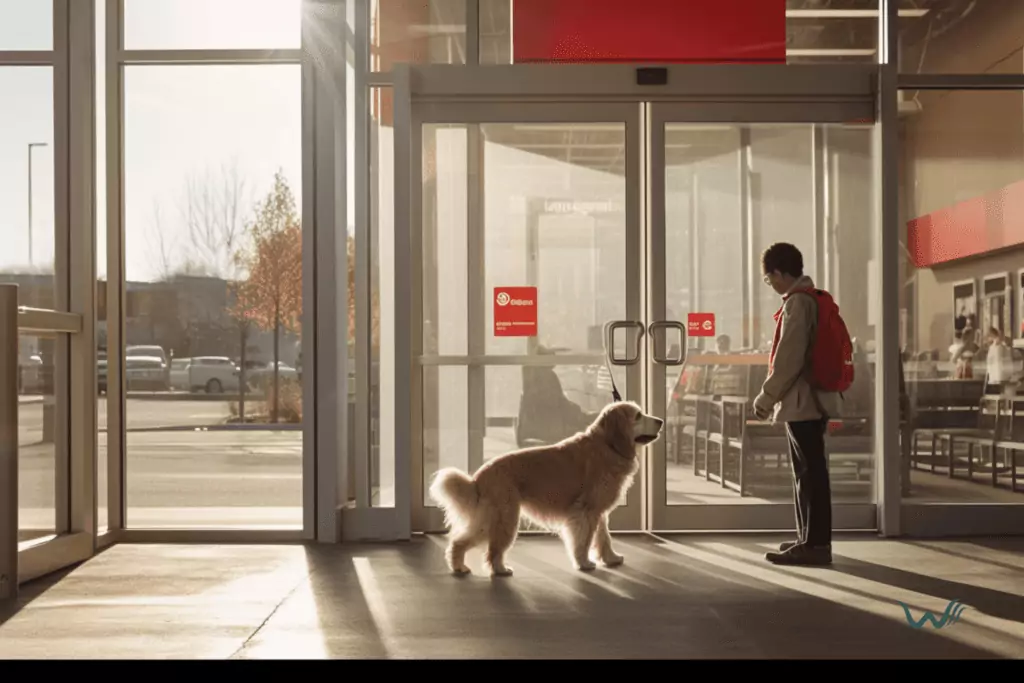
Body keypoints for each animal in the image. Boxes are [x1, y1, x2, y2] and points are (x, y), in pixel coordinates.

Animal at [425, 401, 659, 577]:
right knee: (487, 550)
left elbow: (603, 538)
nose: (661, 421)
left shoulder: (598, 512)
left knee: (463, 542)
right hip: (503, 519)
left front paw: (610, 559)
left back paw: (460, 566)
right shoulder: (585, 513)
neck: (607, 445)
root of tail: (478, 478)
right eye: (638, 416)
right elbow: (583, 541)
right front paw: (584, 563)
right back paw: (496, 570)